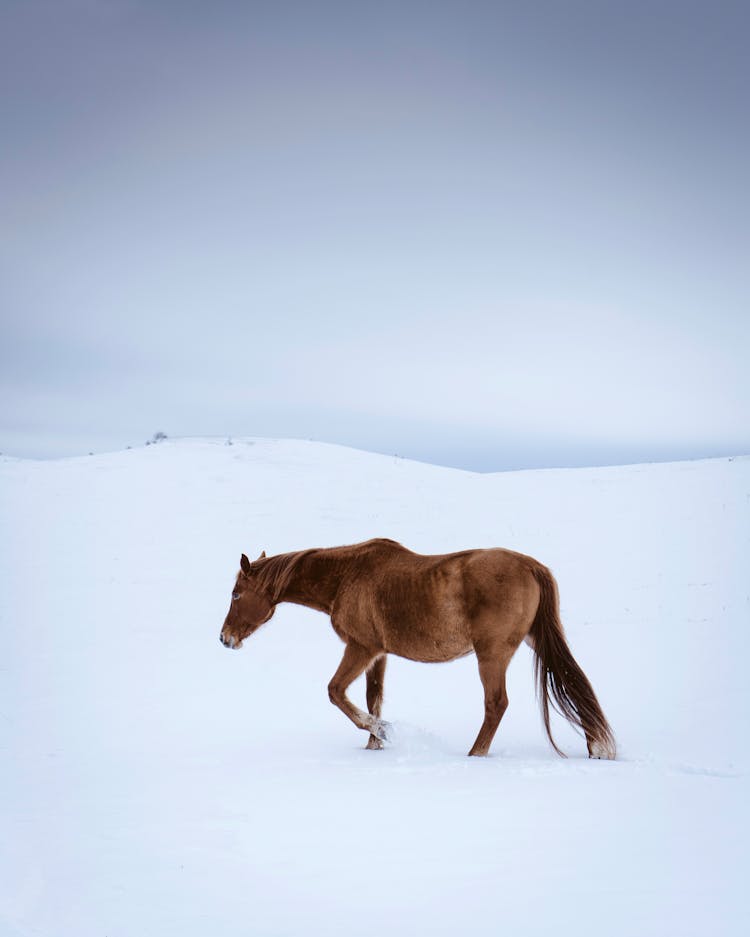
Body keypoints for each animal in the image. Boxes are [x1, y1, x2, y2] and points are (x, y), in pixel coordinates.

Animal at [220, 536, 620, 756]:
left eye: (236, 593)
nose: (225, 638)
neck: (346, 576)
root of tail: (532, 566)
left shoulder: (360, 648)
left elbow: (336, 692)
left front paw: (382, 731)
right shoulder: (378, 654)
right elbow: (373, 698)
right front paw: (374, 744)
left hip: (492, 654)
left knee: (496, 704)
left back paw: (475, 754)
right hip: (534, 640)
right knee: (572, 680)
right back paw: (597, 747)